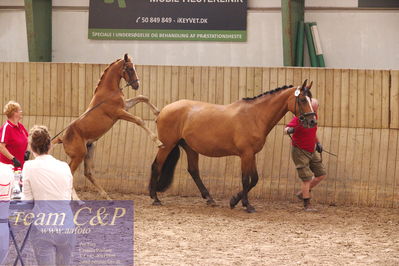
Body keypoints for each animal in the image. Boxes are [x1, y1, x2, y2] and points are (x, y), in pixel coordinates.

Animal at [54, 53, 163, 200]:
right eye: (129, 68)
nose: (136, 85)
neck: (108, 92)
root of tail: (62, 138)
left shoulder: (125, 106)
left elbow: (142, 97)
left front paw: (157, 112)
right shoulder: (119, 113)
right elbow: (139, 120)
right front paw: (158, 142)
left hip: (89, 150)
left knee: (88, 173)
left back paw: (106, 196)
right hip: (78, 156)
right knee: (71, 172)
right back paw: (77, 199)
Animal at [148, 79, 318, 212]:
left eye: (311, 100)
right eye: (303, 100)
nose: (312, 121)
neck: (255, 116)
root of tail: (164, 110)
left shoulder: (251, 154)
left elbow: (254, 179)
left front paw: (234, 200)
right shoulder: (246, 154)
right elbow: (246, 179)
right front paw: (247, 205)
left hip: (190, 148)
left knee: (193, 171)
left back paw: (209, 199)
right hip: (167, 145)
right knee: (156, 166)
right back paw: (155, 198)